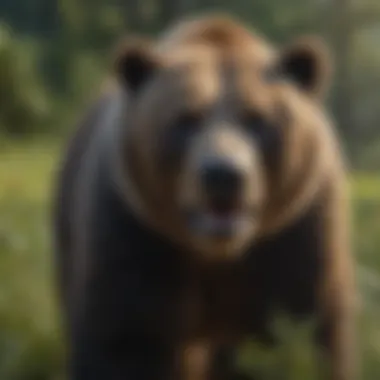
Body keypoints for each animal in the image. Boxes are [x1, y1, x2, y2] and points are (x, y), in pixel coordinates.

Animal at [52, 12, 358, 380]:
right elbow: (128, 340)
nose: (223, 174)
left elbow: (298, 330)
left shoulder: (296, 230)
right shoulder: (134, 228)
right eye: (186, 119)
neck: (217, 252)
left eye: (257, 119)